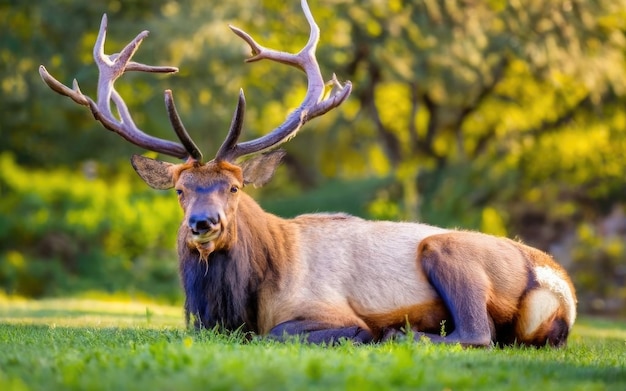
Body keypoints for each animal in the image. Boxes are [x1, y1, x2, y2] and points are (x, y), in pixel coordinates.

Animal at [40, 0, 576, 350]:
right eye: (179, 190)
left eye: (234, 187)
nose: (203, 224)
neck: (238, 307)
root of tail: (561, 288)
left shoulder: (325, 311)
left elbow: (286, 334)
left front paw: (376, 333)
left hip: (445, 250)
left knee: (477, 335)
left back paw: (403, 333)